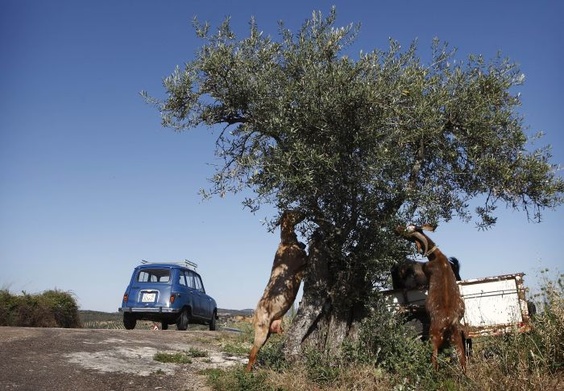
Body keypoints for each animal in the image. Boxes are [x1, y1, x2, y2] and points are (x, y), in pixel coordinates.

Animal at [247, 211, 308, 374]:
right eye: (294, 212)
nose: (304, 212)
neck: (287, 242)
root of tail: (255, 313)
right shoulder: (302, 261)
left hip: (268, 333)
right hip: (261, 334)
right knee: (251, 354)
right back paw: (247, 373)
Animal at [394, 224, 464, 374]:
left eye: (409, 231)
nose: (396, 229)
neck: (437, 256)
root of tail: (448, 323)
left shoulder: (427, 268)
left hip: (434, 338)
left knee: (434, 361)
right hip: (456, 339)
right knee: (463, 361)